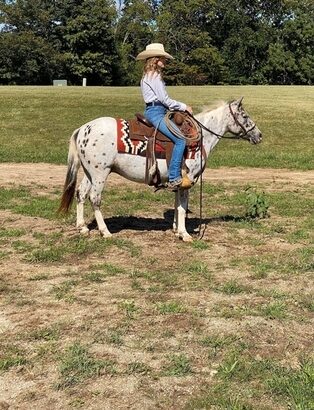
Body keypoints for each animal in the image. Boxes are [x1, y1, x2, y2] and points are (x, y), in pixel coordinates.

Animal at [59, 98, 262, 242]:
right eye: (244, 116)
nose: (259, 135)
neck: (201, 137)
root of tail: (83, 128)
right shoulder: (188, 180)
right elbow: (182, 208)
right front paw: (184, 234)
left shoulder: (179, 182)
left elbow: (178, 205)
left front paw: (176, 229)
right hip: (100, 172)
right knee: (95, 198)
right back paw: (105, 231)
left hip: (89, 173)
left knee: (81, 193)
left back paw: (82, 227)